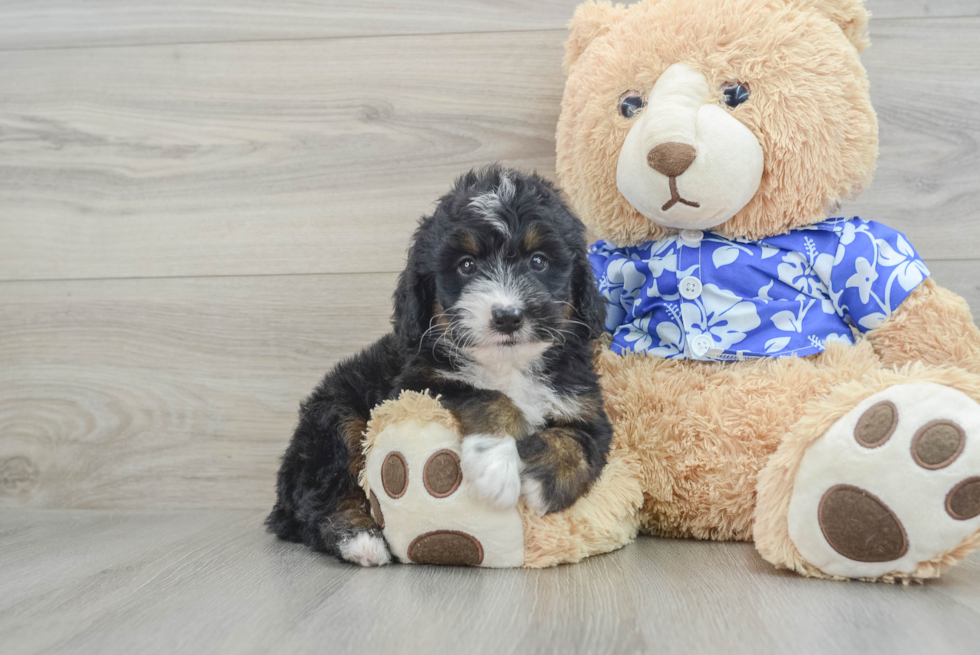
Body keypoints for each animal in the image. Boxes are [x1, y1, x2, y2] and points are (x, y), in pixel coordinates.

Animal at [264, 167, 608, 568]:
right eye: (467, 266)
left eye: (539, 261)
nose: (507, 316)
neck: (508, 364)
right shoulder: (419, 383)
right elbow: (488, 396)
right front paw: (495, 463)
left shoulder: (585, 404)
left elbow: (580, 442)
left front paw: (541, 483)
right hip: (336, 418)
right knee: (319, 499)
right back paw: (360, 538)